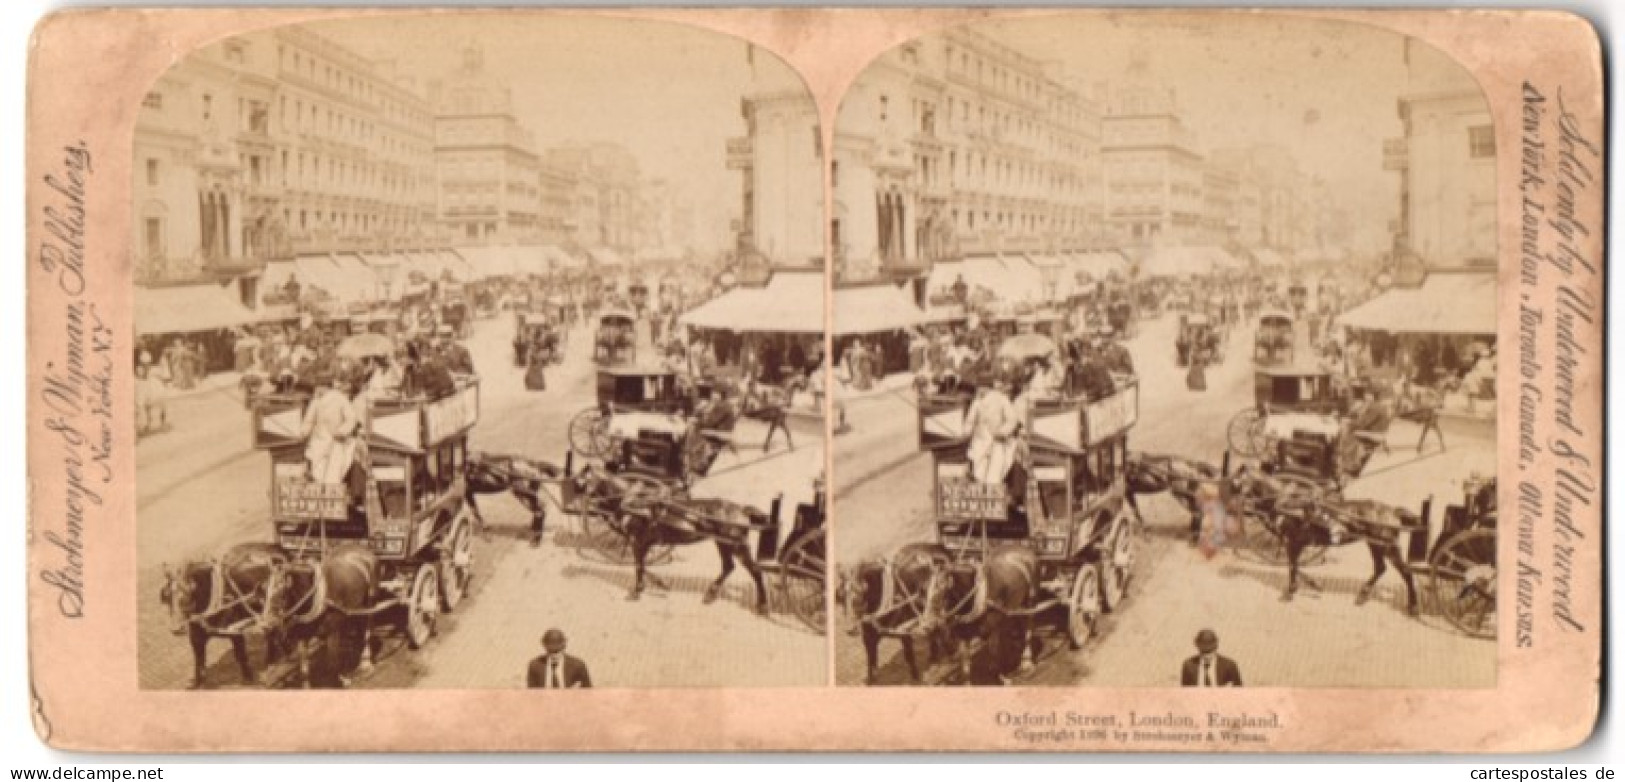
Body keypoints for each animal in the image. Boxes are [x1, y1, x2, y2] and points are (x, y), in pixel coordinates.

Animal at [159, 539, 289, 686]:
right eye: (166, 596)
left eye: (189, 592)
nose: (176, 629)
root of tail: (274, 546)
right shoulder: (196, 637)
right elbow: (199, 663)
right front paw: (198, 683)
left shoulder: (235, 631)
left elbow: (240, 655)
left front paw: (248, 678)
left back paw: (274, 659)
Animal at [266, 543, 383, 689]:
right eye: (264, 591)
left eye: (281, 593)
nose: (266, 625)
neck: (315, 597)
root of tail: (363, 549)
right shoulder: (302, 636)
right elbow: (304, 670)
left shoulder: (332, 633)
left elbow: (333, 664)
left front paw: (343, 680)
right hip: (355, 607)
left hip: (371, 601)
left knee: (368, 627)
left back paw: (366, 663)